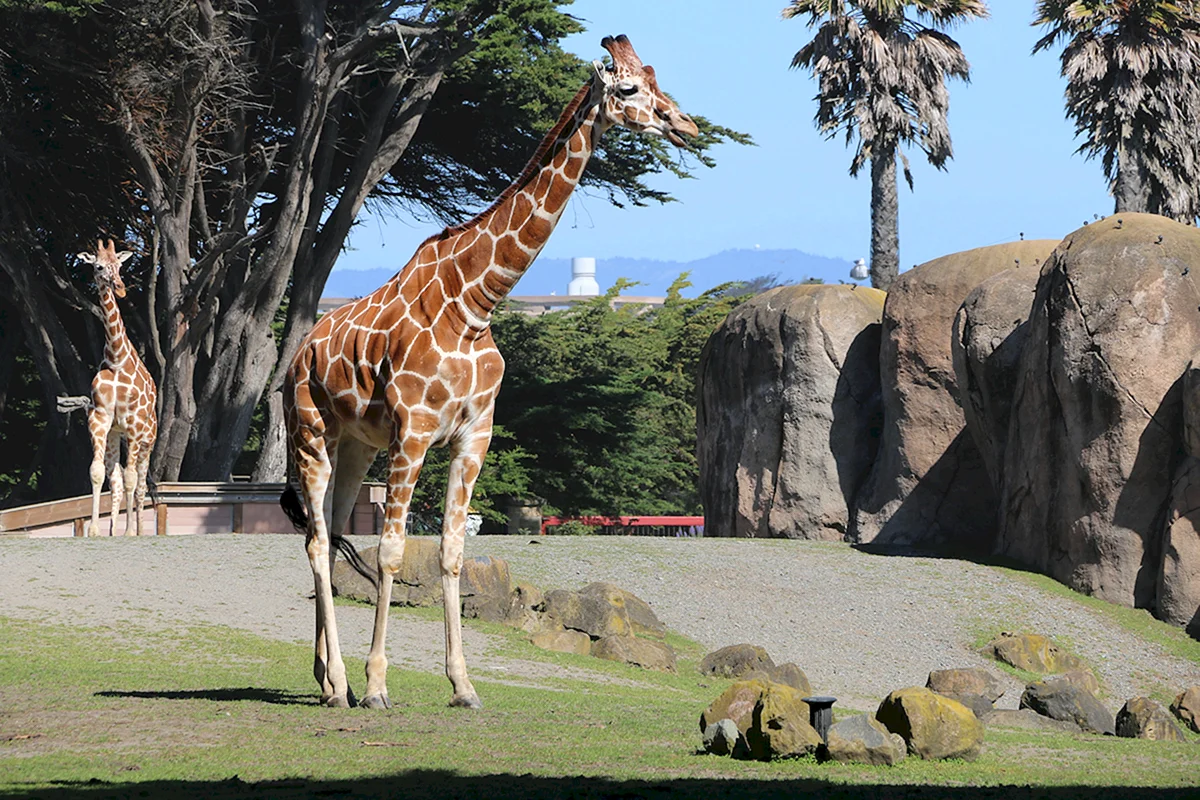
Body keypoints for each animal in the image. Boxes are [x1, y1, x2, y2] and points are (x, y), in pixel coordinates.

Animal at [77, 237, 158, 537]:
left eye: (119, 266)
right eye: (99, 266)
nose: (121, 288)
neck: (116, 358)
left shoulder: (134, 424)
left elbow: (134, 479)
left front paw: (130, 532)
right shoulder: (100, 419)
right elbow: (99, 472)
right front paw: (95, 530)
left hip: (147, 440)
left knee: (141, 484)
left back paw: (138, 530)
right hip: (116, 434)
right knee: (118, 478)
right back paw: (114, 529)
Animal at [278, 34, 696, 710]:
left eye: (660, 80)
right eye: (630, 88)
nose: (684, 126)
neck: (475, 303)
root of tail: (297, 355)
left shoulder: (475, 435)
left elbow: (451, 552)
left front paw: (463, 685)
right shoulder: (415, 433)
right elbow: (392, 552)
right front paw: (378, 685)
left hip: (356, 445)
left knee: (331, 533)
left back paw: (324, 679)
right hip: (311, 434)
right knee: (317, 540)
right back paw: (342, 683)